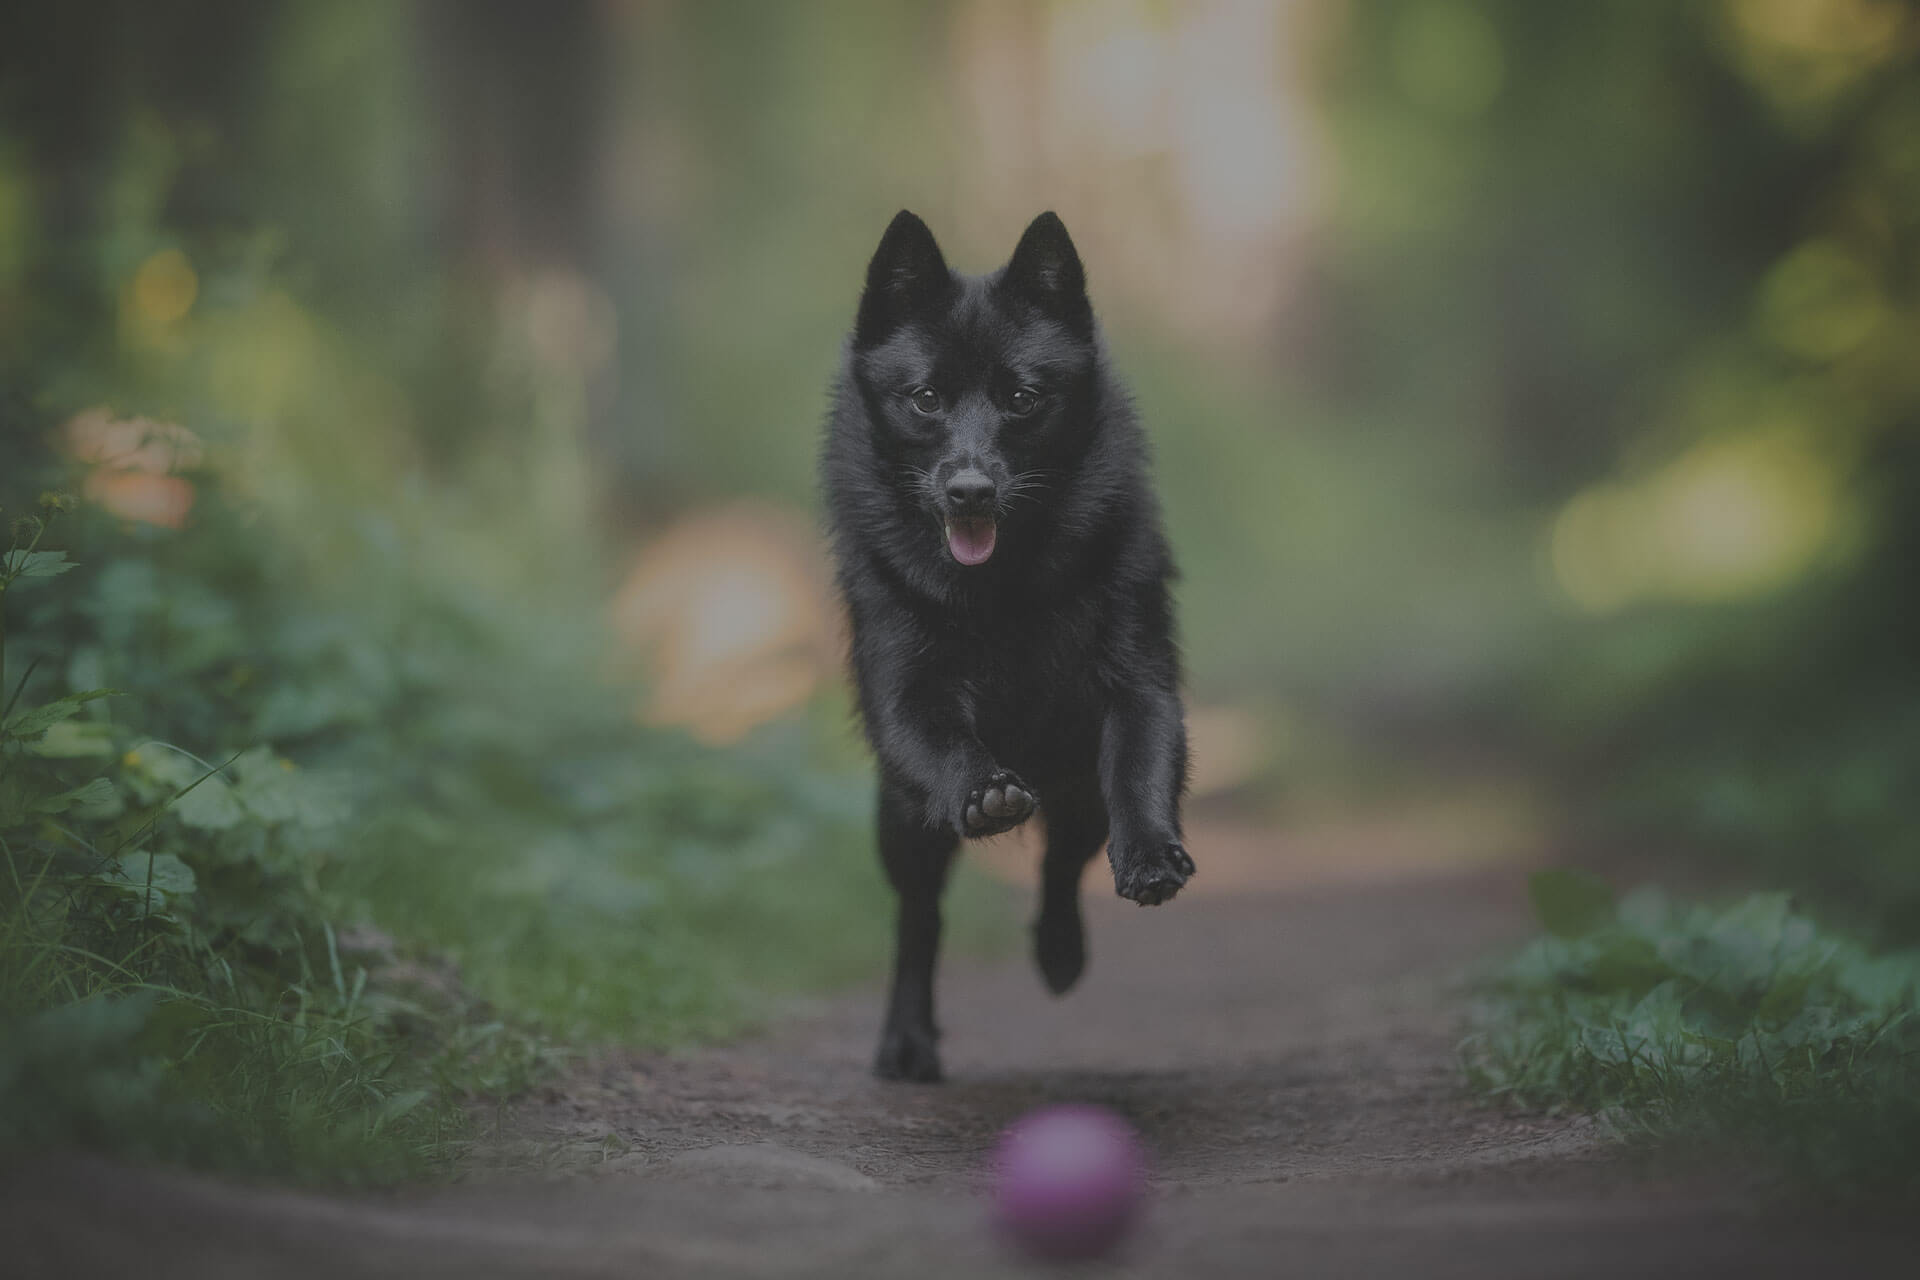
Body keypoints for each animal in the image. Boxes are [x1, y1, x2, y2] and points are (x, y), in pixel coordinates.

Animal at [817, 210, 1190, 1082]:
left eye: (1022, 398)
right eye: (926, 399)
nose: (970, 491)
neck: (1004, 590)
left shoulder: (1138, 682)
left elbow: (1142, 766)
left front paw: (1152, 853)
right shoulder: (905, 692)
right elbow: (944, 740)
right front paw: (982, 788)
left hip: (1077, 791)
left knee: (1062, 864)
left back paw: (1059, 953)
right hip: (903, 824)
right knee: (919, 920)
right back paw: (907, 1043)